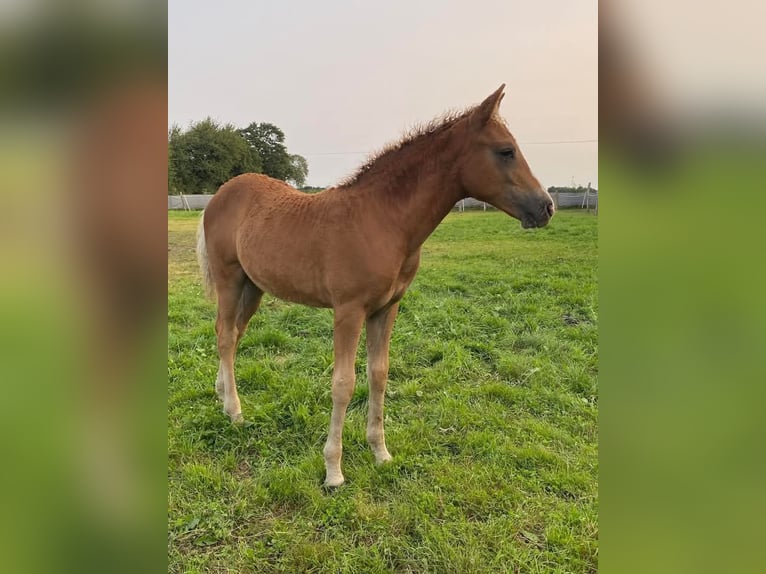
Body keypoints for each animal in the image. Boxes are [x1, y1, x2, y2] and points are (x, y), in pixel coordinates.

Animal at [196, 85, 560, 488]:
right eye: (506, 150)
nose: (546, 207)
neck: (383, 219)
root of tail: (218, 196)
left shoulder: (386, 308)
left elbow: (379, 375)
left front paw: (380, 452)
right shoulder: (348, 310)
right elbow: (343, 383)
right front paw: (333, 470)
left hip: (253, 286)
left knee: (232, 334)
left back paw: (222, 396)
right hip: (229, 279)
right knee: (225, 335)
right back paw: (235, 411)